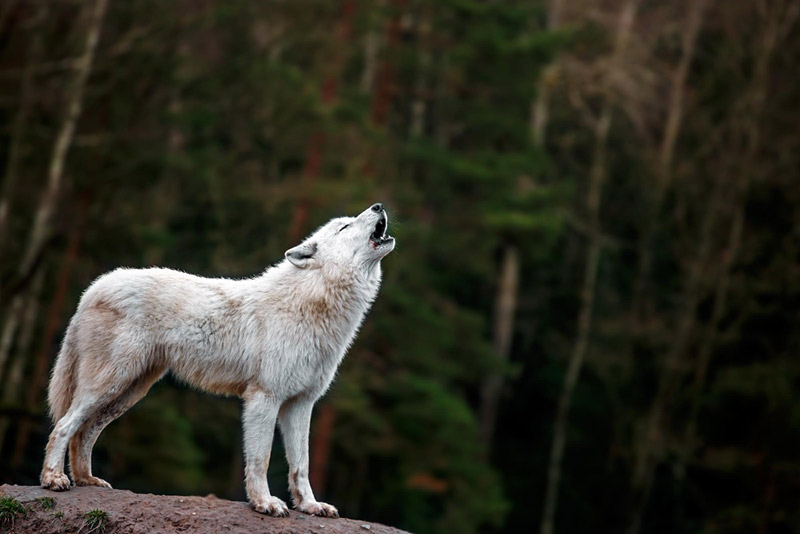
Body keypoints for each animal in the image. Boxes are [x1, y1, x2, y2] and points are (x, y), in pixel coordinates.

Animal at [40, 203, 395, 518]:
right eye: (344, 227)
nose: (379, 206)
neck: (311, 303)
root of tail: (94, 287)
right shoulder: (263, 398)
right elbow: (261, 460)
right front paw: (264, 503)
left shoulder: (301, 404)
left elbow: (301, 465)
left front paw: (310, 506)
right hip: (110, 383)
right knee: (63, 426)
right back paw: (54, 479)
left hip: (128, 392)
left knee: (84, 433)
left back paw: (87, 480)